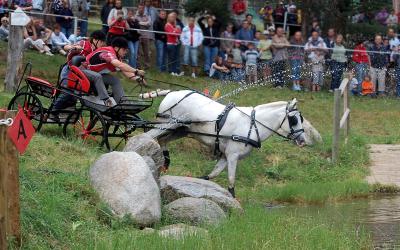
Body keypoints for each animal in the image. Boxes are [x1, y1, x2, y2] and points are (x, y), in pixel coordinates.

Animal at [148, 90, 306, 197]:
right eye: (294, 120)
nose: (303, 141)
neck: (251, 125)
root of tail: (172, 92)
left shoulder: (225, 155)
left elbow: (211, 175)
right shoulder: (232, 155)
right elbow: (231, 181)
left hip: (181, 130)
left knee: (162, 140)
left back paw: (165, 164)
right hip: (165, 124)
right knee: (150, 136)